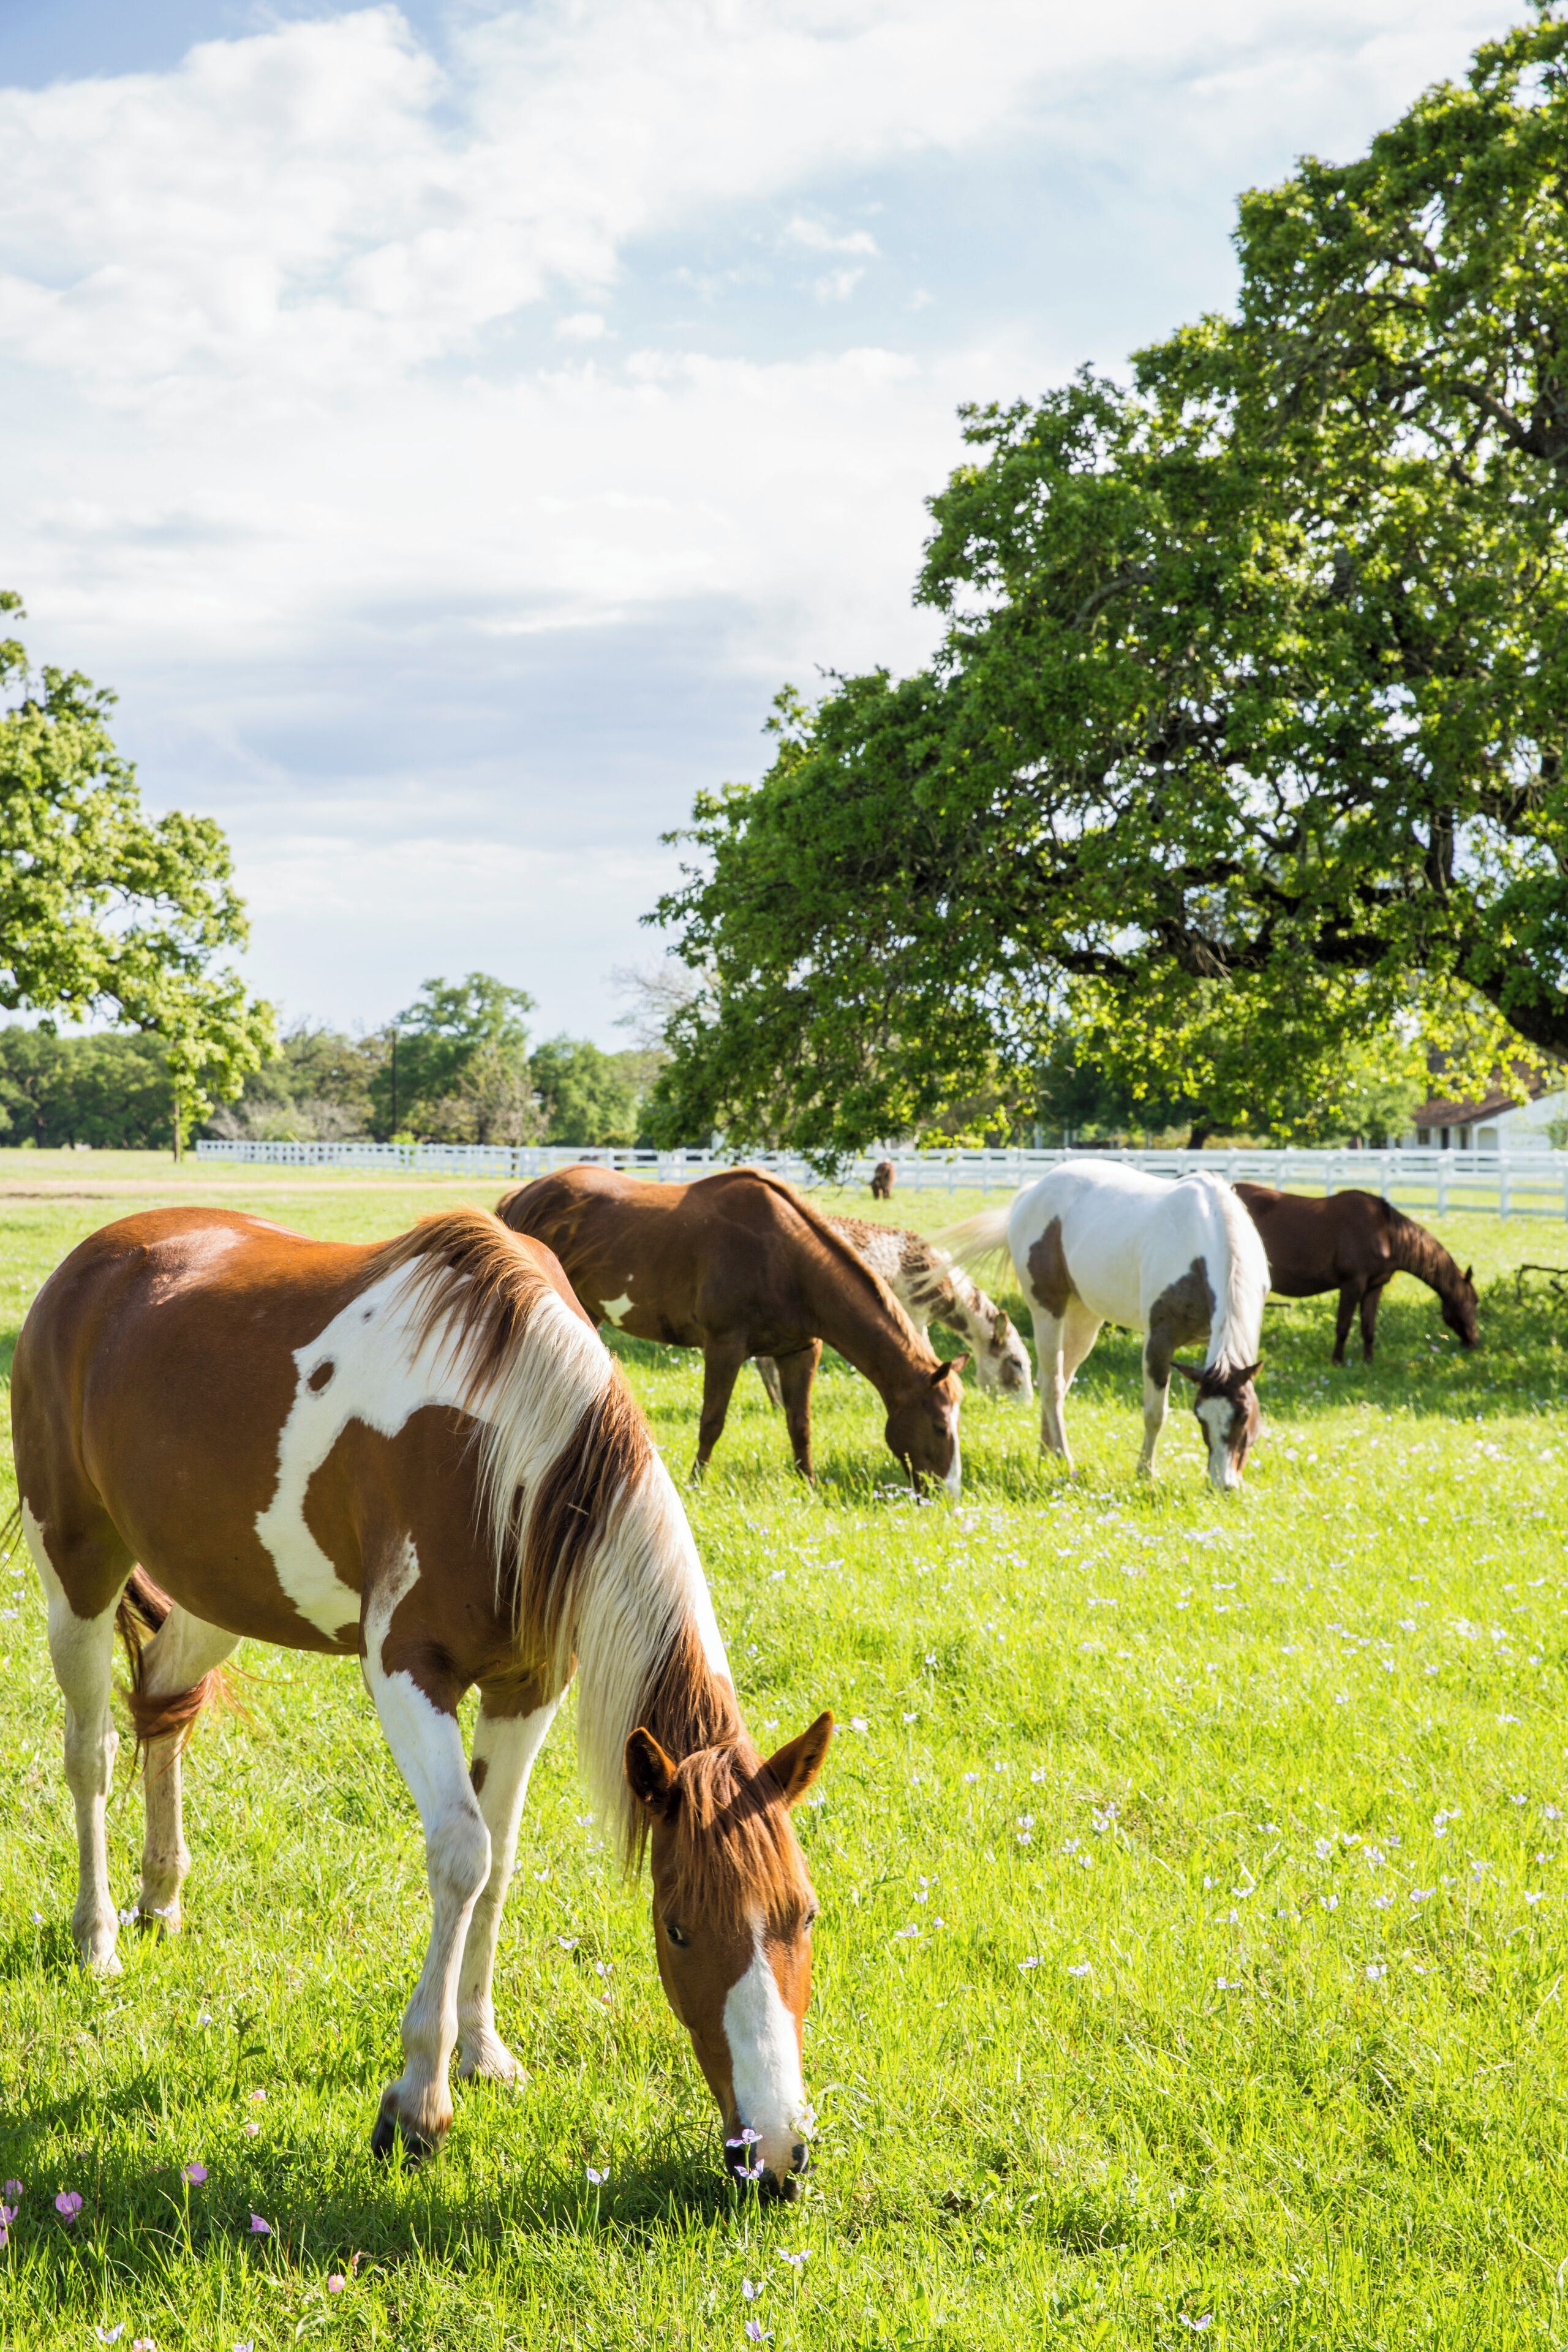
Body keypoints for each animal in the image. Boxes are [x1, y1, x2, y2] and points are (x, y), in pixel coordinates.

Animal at [11, 1205, 833, 2195]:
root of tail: (91, 1262)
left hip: (217, 1594)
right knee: (90, 1753)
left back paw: (160, 1899)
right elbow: (463, 1858)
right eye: (677, 1931)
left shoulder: (528, 1686)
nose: (777, 2153)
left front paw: (481, 2050)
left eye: (804, 1915)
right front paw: (420, 2102)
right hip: (77, 1569)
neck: (504, 1441)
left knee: (165, 1702)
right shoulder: (405, 1668)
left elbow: (501, 1861)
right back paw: (98, 1934)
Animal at [496, 1166, 966, 1491]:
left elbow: (800, 1424)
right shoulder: (724, 1346)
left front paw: (810, 1485)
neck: (784, 1258)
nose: (948, 1494)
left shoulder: (800, 1351)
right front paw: (695, 1482)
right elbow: (712, 1420)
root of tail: (522, 1195)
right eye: (940, 1427)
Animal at [943, 1159, 1269, 1490]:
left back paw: (1046, 1453)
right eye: (1201, 1417)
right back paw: (1064, 1459)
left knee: (1059, 1379)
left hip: (1084, 1319)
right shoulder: (1159, 1343)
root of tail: (1032, 1191)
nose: (1224, 1484)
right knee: (1052, 1385)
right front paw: (1145, 1474)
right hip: (1048, 1313)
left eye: (1245, 1415)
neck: (1206, 1234)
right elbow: (1155, 1414)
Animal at [1235, 1184, 1479, 1364]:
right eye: (1473, 1302)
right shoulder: (1352, 1284)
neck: (1386, 1233)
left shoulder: (1374, 1287)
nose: (1475, 1342)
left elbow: (1368, 1328)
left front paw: (1368, 1361)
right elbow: (1343, 1326)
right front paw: (1337, 1362)